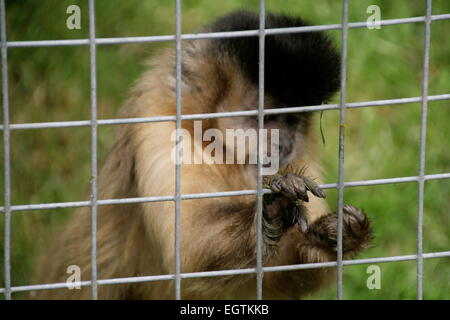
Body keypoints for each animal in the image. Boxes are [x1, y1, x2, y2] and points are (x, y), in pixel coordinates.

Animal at [31, 10, 372, 300]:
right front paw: (275, 208)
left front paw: (333, 236)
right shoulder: (160, 124)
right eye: (266, 118)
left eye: (292, 121)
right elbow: (189, 251)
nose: (284, 145)